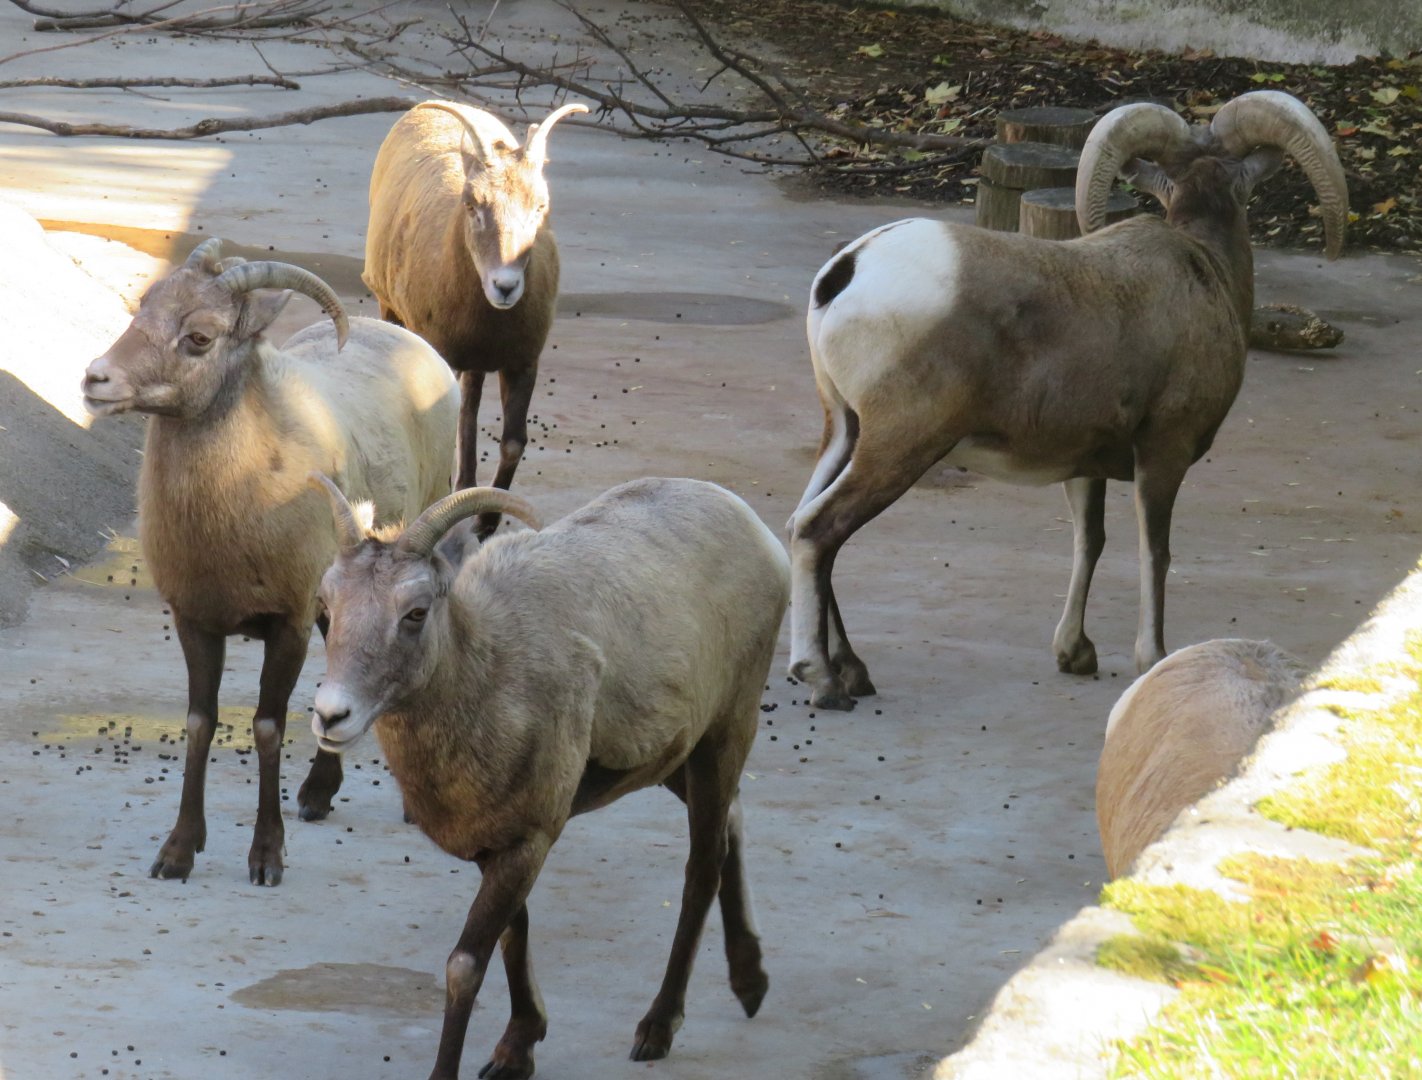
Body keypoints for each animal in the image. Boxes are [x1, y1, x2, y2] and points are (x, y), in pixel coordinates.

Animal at [81, 239, 459, 886]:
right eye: (143, 307)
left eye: (199, 336)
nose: (95, 379)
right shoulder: (196, 620)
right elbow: (200, 723)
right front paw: (177, 853)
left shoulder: (289, 623)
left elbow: (267, 726)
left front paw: (266, 857)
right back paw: (316, 795)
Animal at [309, 475, 789, 1079]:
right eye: (326, 607)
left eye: (415, 612)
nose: (331, 716)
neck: (492, 679)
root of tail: (752, 524)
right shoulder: (501, 844)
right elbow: (516, 936)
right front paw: (519, 1048)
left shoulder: (529, 840)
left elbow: (466, 966)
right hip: (678, 757)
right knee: (733, 820)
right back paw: (751, 983)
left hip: (726, 731)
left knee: (703, 867)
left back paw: (658, 1028)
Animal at [363, 99, 586, 536]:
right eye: (472, 204)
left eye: (540, 205)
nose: (505, 286)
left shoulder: (522, 360)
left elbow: (512, 441)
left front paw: (486, 521)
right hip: (391, 310)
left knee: (469, 407)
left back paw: (467, 486)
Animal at [786, 90, 1347, 710]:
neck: (1205, 269)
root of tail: (848, 271)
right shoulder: (1164, 453)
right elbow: (1156, 551)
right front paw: (1152, 657)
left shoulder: (1085, 465)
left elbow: (1090, 541)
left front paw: (1075, 654)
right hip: (900, 446)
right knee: (818, 530)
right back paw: (822, 680)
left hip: (845, 433)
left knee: (802, 525)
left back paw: (853, 672)